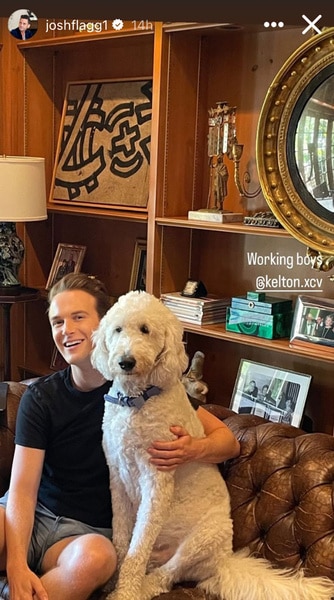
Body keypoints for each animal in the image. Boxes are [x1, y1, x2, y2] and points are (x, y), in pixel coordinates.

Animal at [90, 290, 334, 600]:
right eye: (118, 329)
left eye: (145, 329)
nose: (126, 361)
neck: (135, 401)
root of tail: (223, 562)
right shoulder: (118, 479)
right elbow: (123, 539)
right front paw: (113, 579)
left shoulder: (156, 483)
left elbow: (138, 546)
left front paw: (124, 592)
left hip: (204, 538)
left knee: (165, 577)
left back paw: (143, 588)